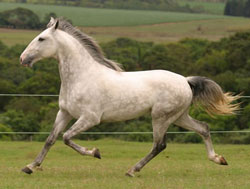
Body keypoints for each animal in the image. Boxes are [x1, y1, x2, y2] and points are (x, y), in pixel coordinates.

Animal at [19, 17, 238, 177]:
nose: (22, 59)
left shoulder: (90, 118)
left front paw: (95, 152)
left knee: (159, 145)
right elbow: (51, 139)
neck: (81, 76)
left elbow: (66, 138)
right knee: (203, 128)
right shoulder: (64, 113)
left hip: (161, 117)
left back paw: (132, 170)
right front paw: (30, 166)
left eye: (41, 39)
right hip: (179, 116)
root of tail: (185, 81)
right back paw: (219, 159)